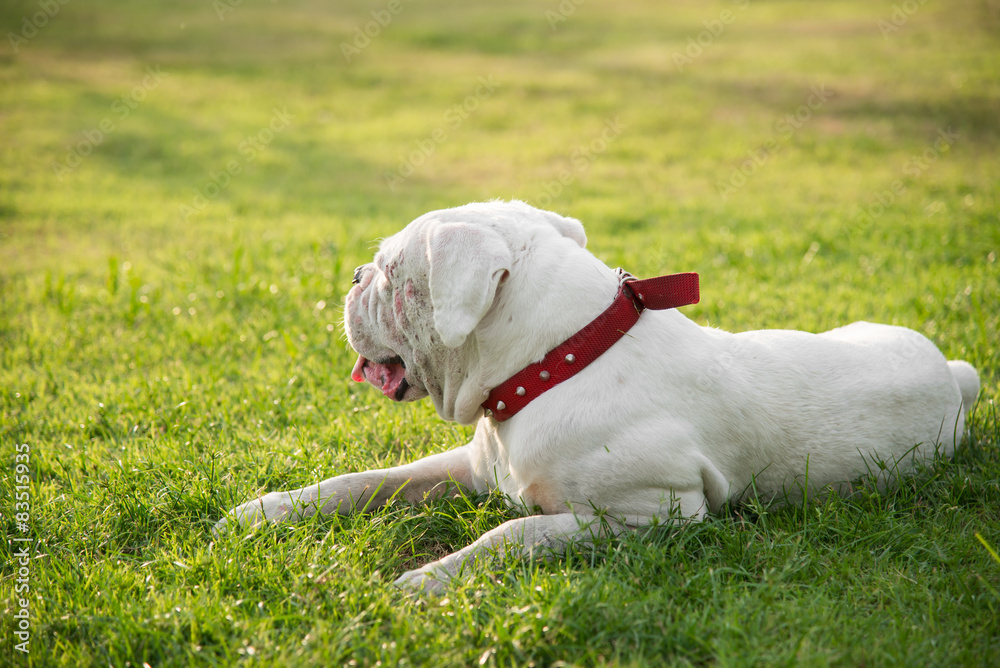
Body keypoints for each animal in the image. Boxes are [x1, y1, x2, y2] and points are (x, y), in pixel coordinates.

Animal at [217, 201, 976, 592]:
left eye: (387, 271)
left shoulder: (654, 515)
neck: (557, 361)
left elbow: (511, 534)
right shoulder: (469, 466)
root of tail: (950, 370)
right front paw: (266, 511)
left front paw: (428, 580)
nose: (349, 277)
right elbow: (368, 480)